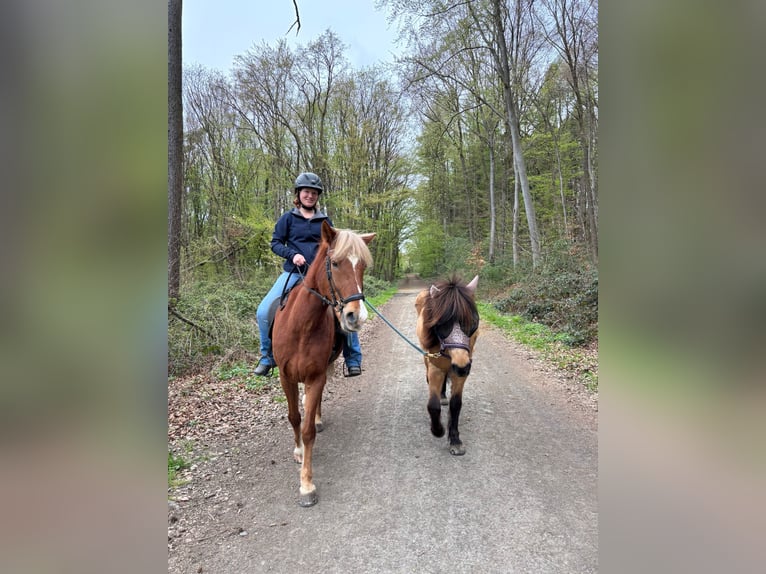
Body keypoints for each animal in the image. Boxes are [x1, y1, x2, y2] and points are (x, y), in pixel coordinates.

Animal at [272, 220, 375, 507]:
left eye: (363, 266)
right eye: (336, 263)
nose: (356, 317)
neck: (302, 326)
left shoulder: (315, 376)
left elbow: (308, 429)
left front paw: (306, 485)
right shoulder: (286, 377)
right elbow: (294, 417)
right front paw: (298, 451)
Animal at [415, 275, 479, 455]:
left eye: (472, 321)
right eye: (442, 323)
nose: (462, 367)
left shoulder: (460, 372)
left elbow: (456, 405)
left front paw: (455, 440)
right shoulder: (435, 367)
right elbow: (433, 405)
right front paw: (438, 430)